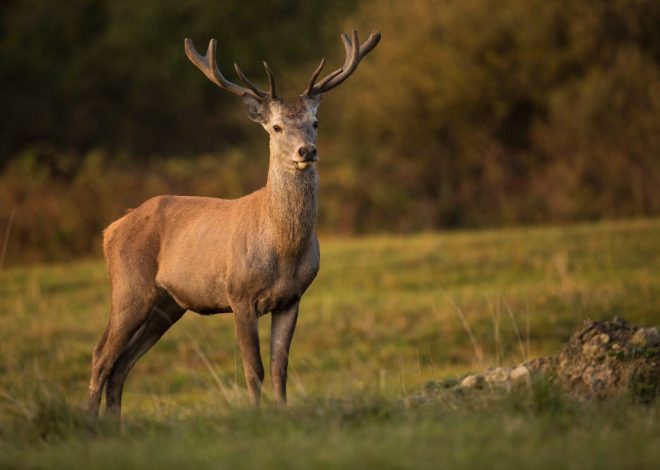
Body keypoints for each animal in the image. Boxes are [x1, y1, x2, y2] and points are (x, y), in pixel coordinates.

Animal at [86, 31, 382, 416]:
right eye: (276, 127)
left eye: (315, 123)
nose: (307, 151)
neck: (283, 249)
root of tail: (110, 230)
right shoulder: (239, 294)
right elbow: (253, 368)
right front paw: (255, 414)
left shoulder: (292, 298)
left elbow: (280, 367)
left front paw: (282, 411)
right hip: (129, 287)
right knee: (101, 355)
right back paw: (90, 420)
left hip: (168, 304)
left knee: (122, 363)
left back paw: (114, 422)